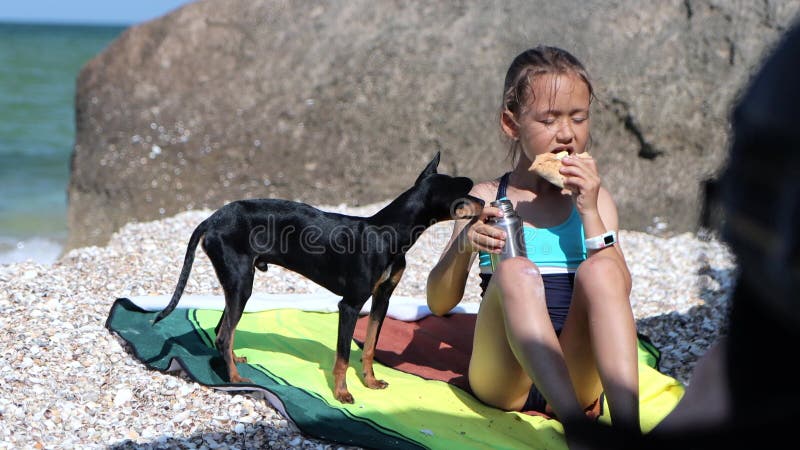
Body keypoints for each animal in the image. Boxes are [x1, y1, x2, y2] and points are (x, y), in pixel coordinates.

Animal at [153, 153, 478, 402]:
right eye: (465, 194)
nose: (483, 202)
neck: (388, 233)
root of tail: (211, 219)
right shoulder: (350, 305)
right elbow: (343, 356)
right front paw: (342, 393)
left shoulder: (382, 300)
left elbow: (370, 347)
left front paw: (370, 382)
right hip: (241, 283)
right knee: (223, 334)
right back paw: (235, 377)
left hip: (237, 285)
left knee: (224, 328)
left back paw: (233, 362)